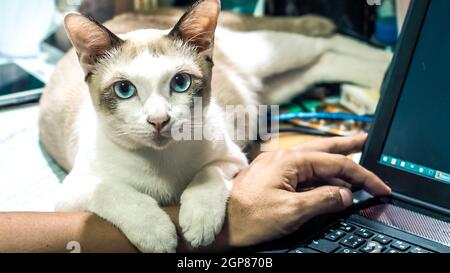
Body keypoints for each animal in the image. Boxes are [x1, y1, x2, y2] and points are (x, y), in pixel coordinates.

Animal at [38, 0, 390, 253]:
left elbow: (205, 177)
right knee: (325, 61)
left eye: (180, 83)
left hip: (272, 56)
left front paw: (198, 223)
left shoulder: (233, 158)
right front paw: (157, 232)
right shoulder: (73, 192)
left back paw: (387, 68)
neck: (163, 163)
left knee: (329, 43)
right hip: (282, 85)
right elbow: (115, 193)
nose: (159, 120)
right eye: (125, 90)